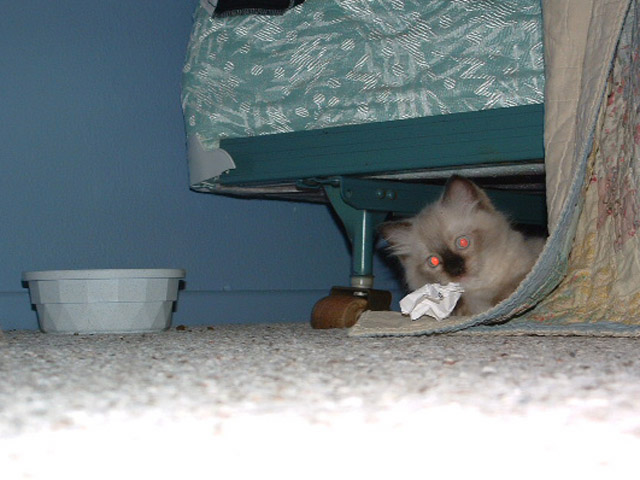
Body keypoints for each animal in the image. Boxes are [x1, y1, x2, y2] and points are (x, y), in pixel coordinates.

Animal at [380, 175, 546, 316]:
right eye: (433, 261)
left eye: (462, 242)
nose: (456, 269)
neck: (480, 293)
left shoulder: (524, 270)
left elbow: (510, 288)